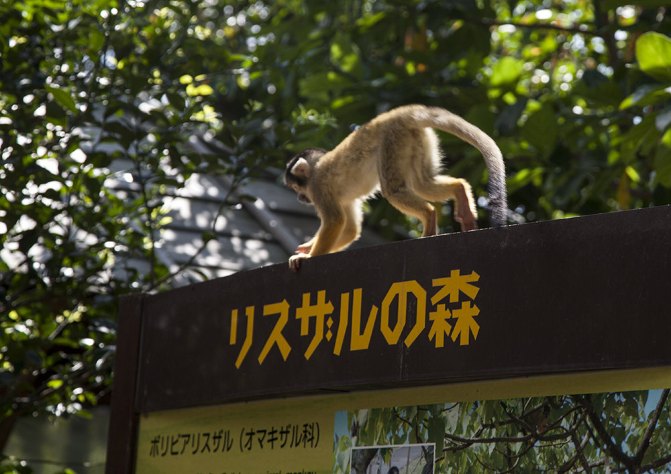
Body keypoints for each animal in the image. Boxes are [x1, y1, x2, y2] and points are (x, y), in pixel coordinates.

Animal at [284, 105, 510, 272]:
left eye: (295, 187)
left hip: (393, 139)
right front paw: (307, 247)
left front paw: (306, 256)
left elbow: (335, 221)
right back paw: (459, 191)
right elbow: (350, 229)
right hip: (418, 138)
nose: (300, 199)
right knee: (423, 183)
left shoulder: (318, 187)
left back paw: (429, 216)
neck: (314, 170)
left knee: (393, 190)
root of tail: (402, 112)